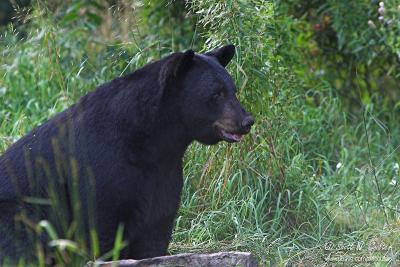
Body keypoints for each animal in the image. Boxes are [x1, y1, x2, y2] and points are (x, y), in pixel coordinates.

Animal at [0, 45, 255, 262]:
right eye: (217, 94)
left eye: (233, 90)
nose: (247, 121)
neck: (153, 140)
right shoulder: (102, 169)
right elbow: (103, 225)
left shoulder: (163, 175)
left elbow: (157, 226)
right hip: (21, 210)